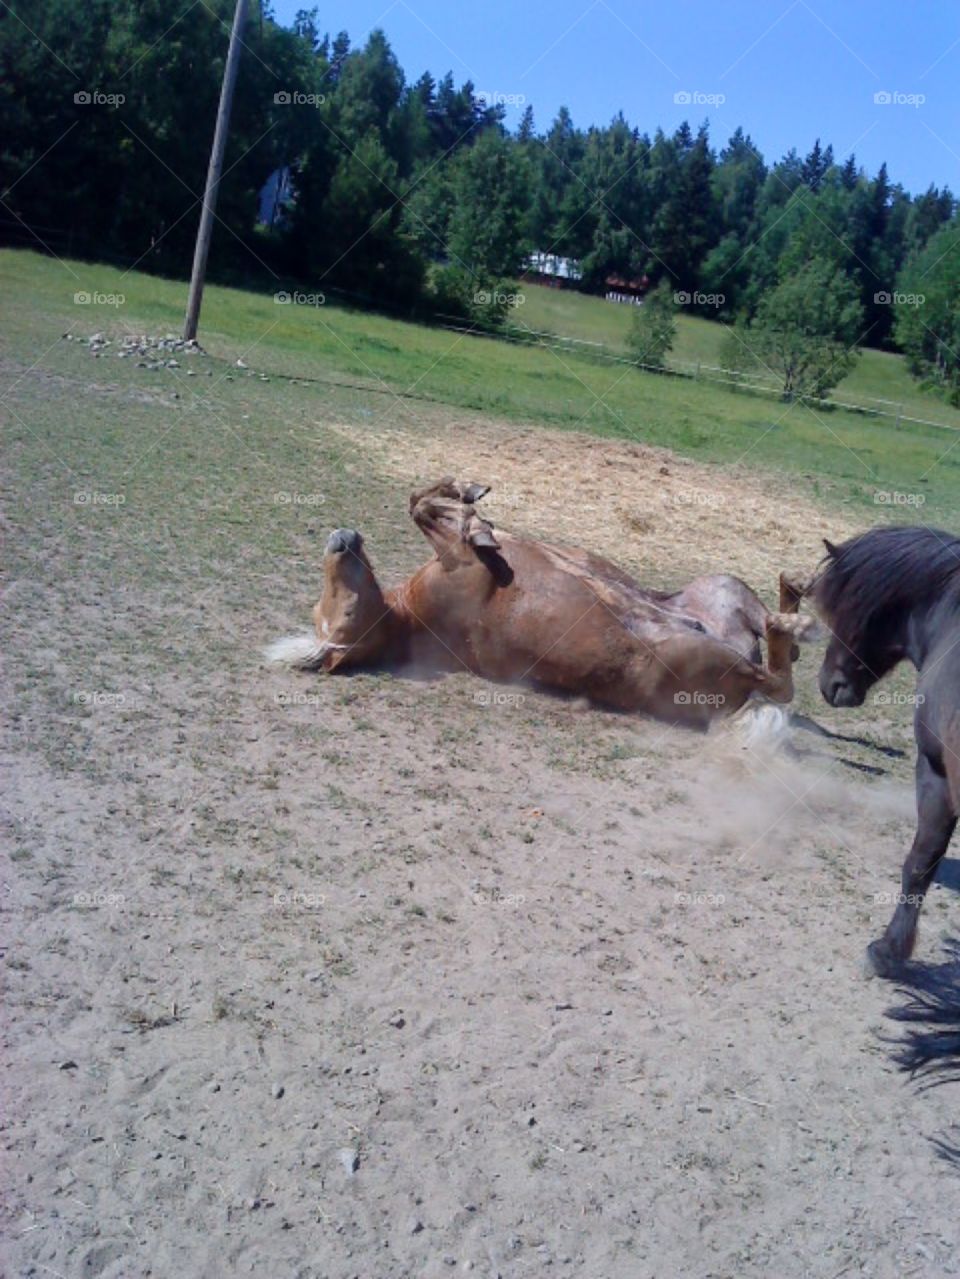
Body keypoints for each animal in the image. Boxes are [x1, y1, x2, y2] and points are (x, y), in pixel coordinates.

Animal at [267, 477, 816, 729]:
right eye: (341, 615)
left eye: (329, 606)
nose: (340, 540)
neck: (412, 615)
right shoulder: (460, 561)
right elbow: (426, 510)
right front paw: (475, 519)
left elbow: (421, 500)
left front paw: (468, 494)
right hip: (700, 656)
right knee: (779, 681)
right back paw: (793, 622)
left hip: (721, 587)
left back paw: (794, 591)